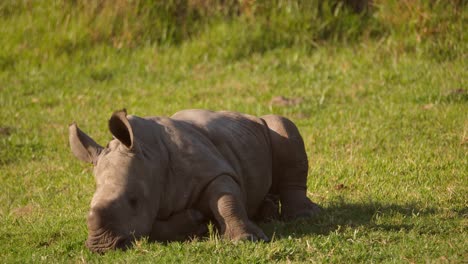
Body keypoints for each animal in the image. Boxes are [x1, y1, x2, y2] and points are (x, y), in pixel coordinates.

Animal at [69, 108, 320, 253]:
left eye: (134, 200)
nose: (100, 247)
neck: (150, 156)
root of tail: (245, 114)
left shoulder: (215, 170)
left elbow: (226, 201)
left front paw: (245, 240)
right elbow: (153, 229)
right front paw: (195, 222)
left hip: (264, 125)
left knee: (282, 125)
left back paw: (302, 216)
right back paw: (266, 212)